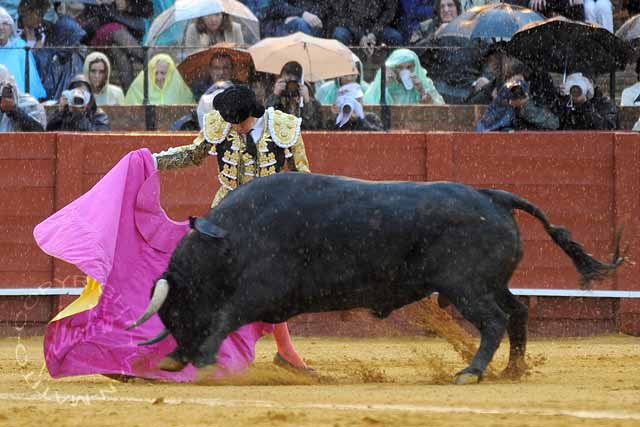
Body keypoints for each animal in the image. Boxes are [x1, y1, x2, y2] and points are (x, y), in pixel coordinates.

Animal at [127, 172, 624, 386]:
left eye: (182, 306)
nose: (180, 355)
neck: (231, 239)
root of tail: (493, 196)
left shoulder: (261, 291)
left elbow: (226, 315)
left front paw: (203, 359)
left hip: (465, 286)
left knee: (495, 321)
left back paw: (471, 371)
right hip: (487, 283)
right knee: (518, 311)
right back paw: (512, 370)